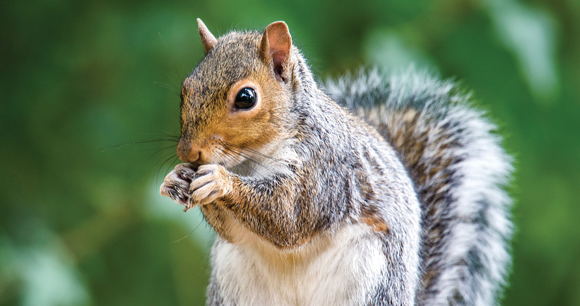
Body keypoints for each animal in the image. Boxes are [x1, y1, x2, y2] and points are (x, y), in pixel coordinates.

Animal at [159, 19, 512, 306]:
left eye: (246, 98)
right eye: (186, 89)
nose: (188, 153)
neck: (252, 160)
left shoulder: (325, 170)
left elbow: (287, 217)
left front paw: (219, 182)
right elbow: (234, 230)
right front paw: (175, 179)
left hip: (371, 276)